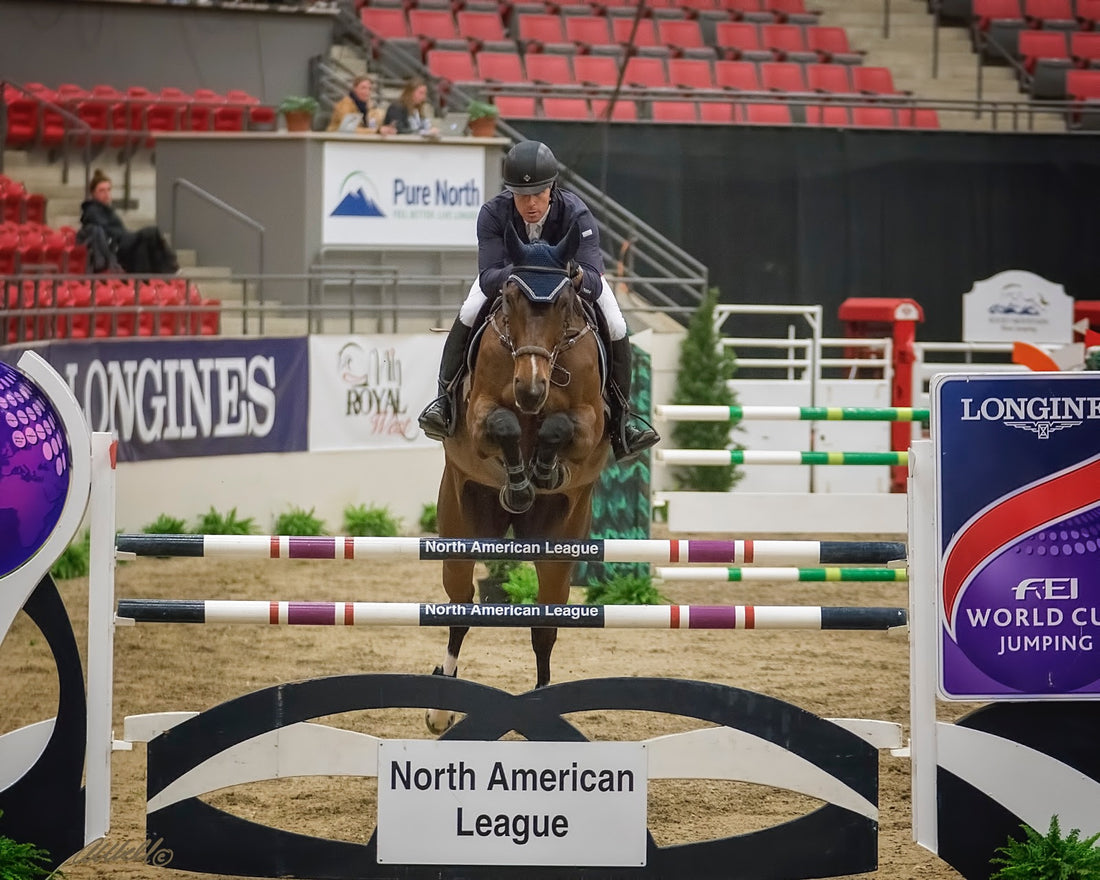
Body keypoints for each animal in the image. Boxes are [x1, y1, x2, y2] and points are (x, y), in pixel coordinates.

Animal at [424, 222, 611, 734]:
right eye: (507, 298)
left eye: (565, 303)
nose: (530, 388)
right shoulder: (479, 417)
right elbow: (505, 425)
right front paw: (521, 482)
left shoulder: (591, 423)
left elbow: (560, 428)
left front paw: (543, 470)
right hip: (461, 530)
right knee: (461, 610)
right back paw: (440, 706)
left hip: (559, 550)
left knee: (544, 626)